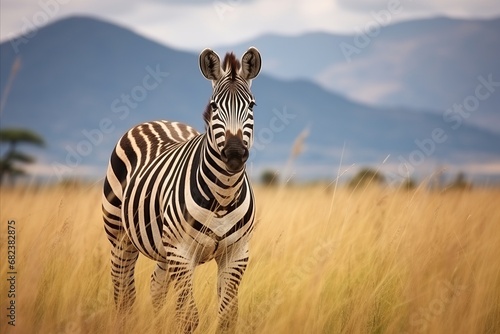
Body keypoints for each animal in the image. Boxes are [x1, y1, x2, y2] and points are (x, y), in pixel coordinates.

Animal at [102, 47, 262, 334]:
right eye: (214, 106)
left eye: (252, 105)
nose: (234, 154)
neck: (223, 196)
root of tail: (156, 120)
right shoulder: (181, 253)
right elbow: (188, 318)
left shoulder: (236, 254)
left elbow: (227, 317)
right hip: (120, 235)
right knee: (124, 292)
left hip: (163, 249)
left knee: (156, 288)